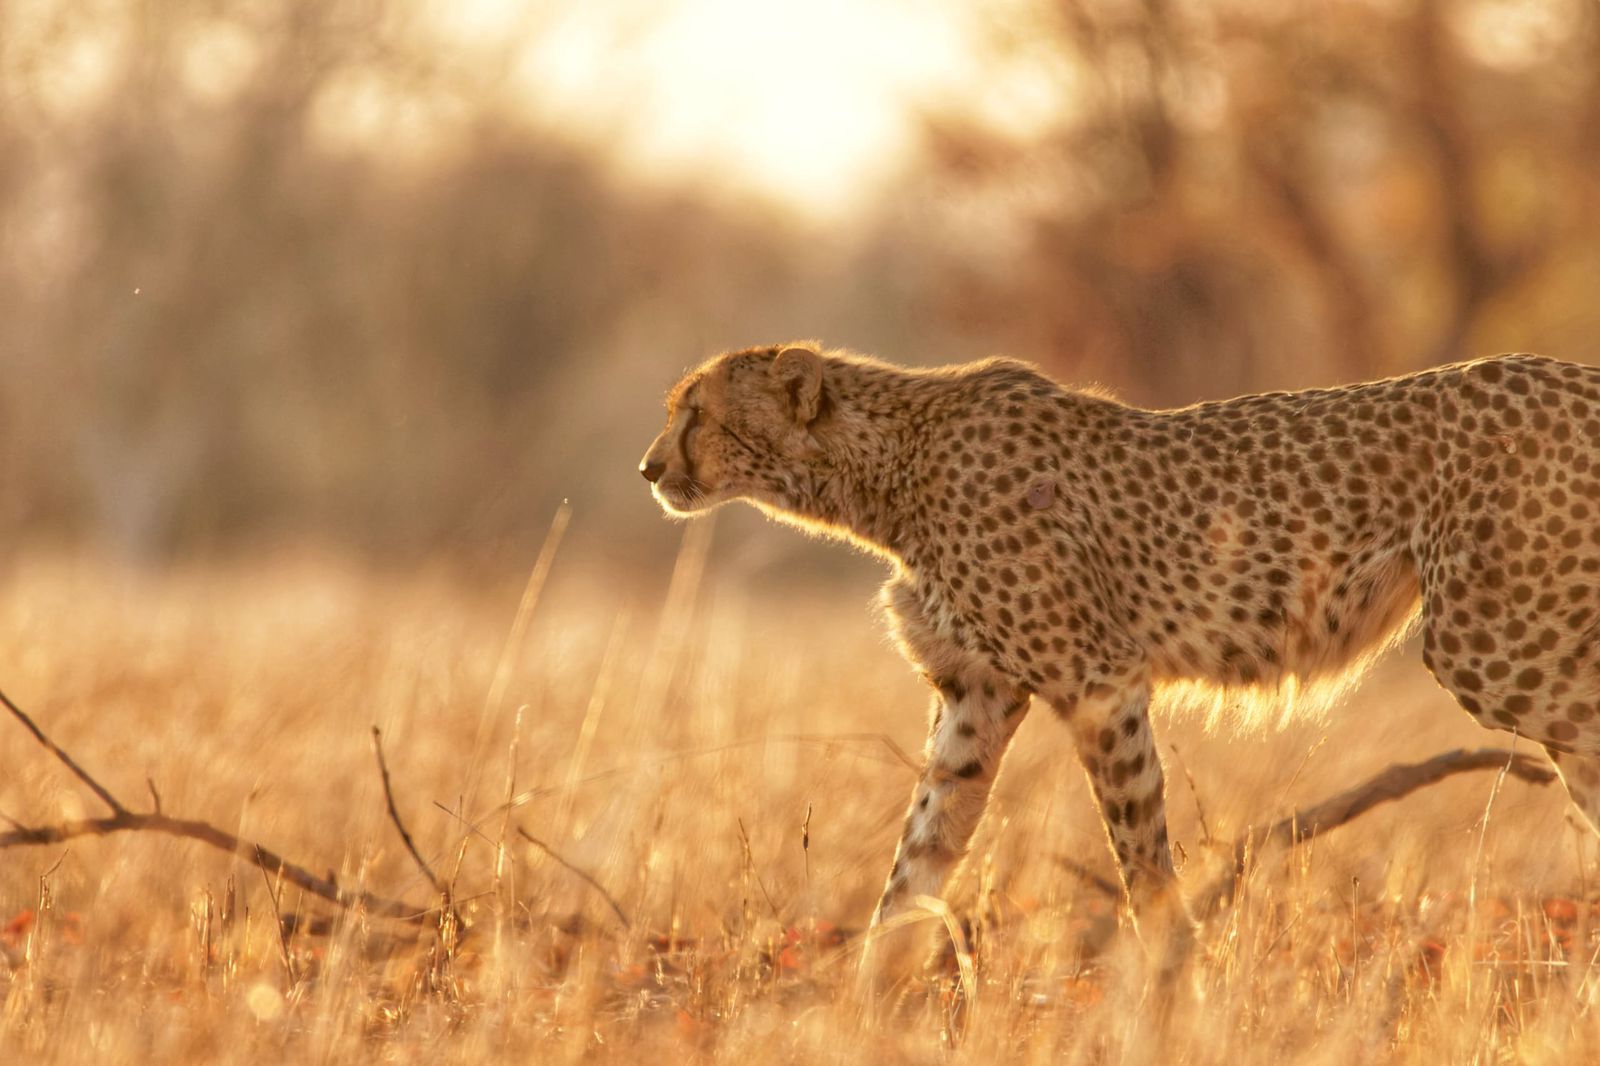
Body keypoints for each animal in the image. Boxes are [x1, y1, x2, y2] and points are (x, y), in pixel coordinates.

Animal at [639, 341, 1600, 965]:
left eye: (698, 413)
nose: (649, 468)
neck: (886, 479)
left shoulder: (1099, 684)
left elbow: (1140, 861)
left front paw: (1172, 988)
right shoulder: (974, 701)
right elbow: (917, 861)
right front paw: (863, 994)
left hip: (1494, 644)